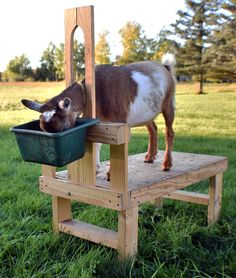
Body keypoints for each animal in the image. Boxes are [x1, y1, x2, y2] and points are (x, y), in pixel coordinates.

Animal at [21, 53, 175, 177]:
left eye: (64, 127)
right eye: (43, 129)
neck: (95, 93)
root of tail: (165, 67)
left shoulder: (120, 121)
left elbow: (115, 145)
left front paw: (110, 174)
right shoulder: (100, 120)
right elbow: (96, 143)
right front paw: (95, 169)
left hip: (168, 102)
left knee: (169, 131)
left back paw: (167, 164)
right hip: (148, 111)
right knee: (153, 128)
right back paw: (150, 157)